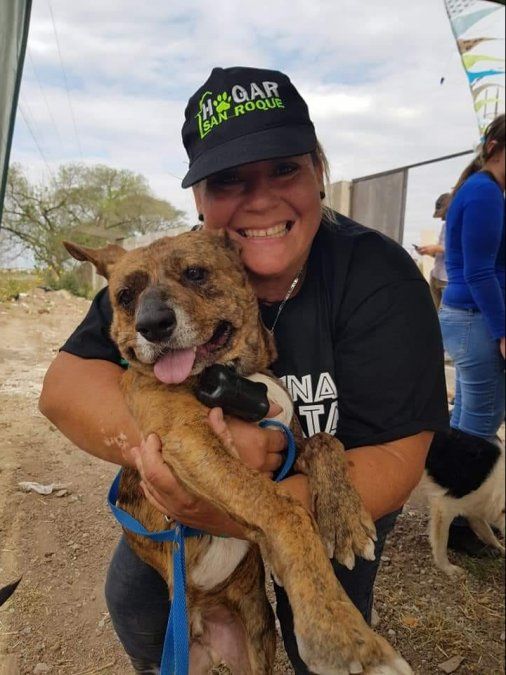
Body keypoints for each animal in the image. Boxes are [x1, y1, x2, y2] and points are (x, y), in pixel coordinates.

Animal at [424, 428, 505, 576]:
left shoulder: (473, 506)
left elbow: (487, 532)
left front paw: (500, 548)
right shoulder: (444, 506)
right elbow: (441, 543)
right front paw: (447, 568)